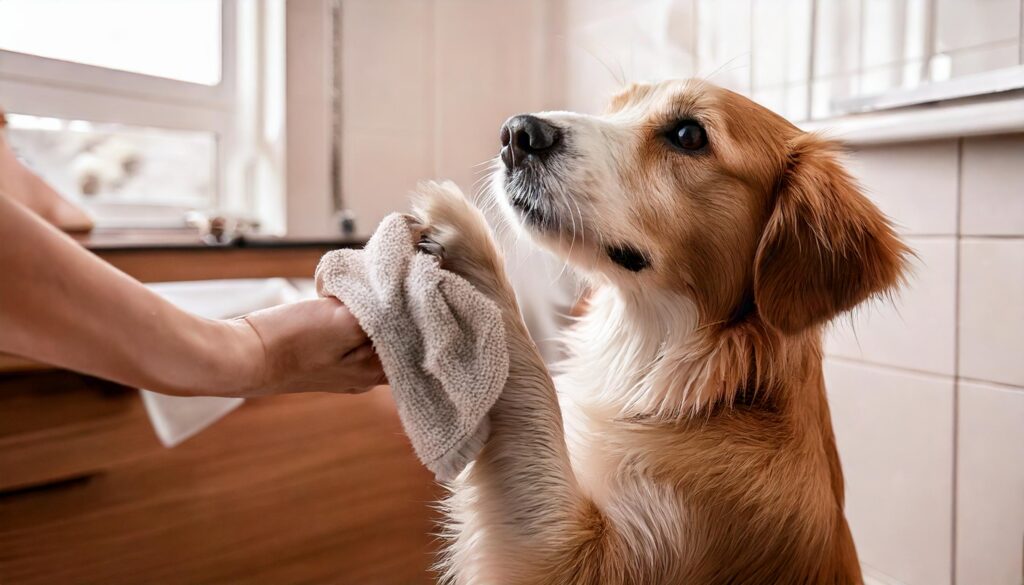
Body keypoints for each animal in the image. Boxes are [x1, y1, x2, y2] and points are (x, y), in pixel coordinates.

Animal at [411, 78, 909, 585]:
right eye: (614, 110)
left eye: (689, 135)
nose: (516, 133)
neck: (729, 391)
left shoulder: (582, 559)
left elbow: (533, 389)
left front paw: (470, 244)